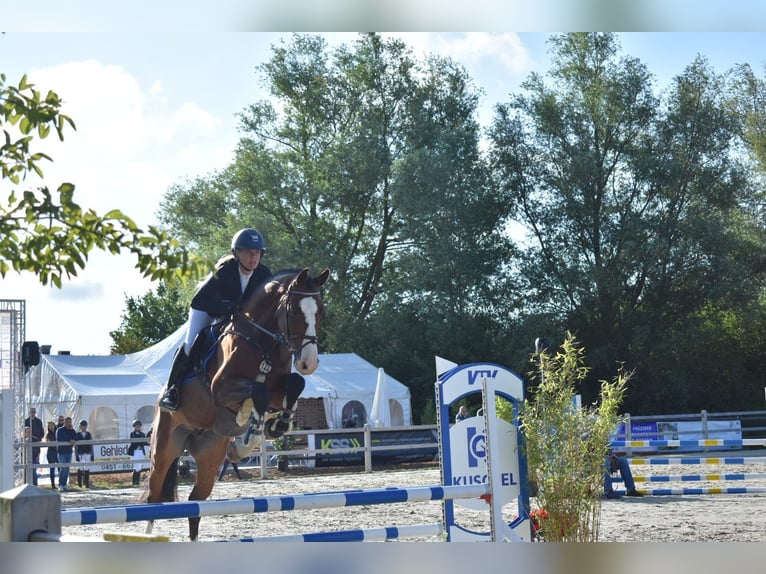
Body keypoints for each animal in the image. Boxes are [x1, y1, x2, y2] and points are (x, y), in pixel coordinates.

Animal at [147, 268, 330, 544]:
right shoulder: (219, 389)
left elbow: (294, 384)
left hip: (210, 455)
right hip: (164, 449)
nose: (309, 364)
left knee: (195, 501)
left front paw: (275, 425)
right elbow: (258, 392)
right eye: (294, 311)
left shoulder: (276, 390)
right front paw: (250, 430)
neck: (262, 341)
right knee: (153, 497)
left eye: (320, 311)